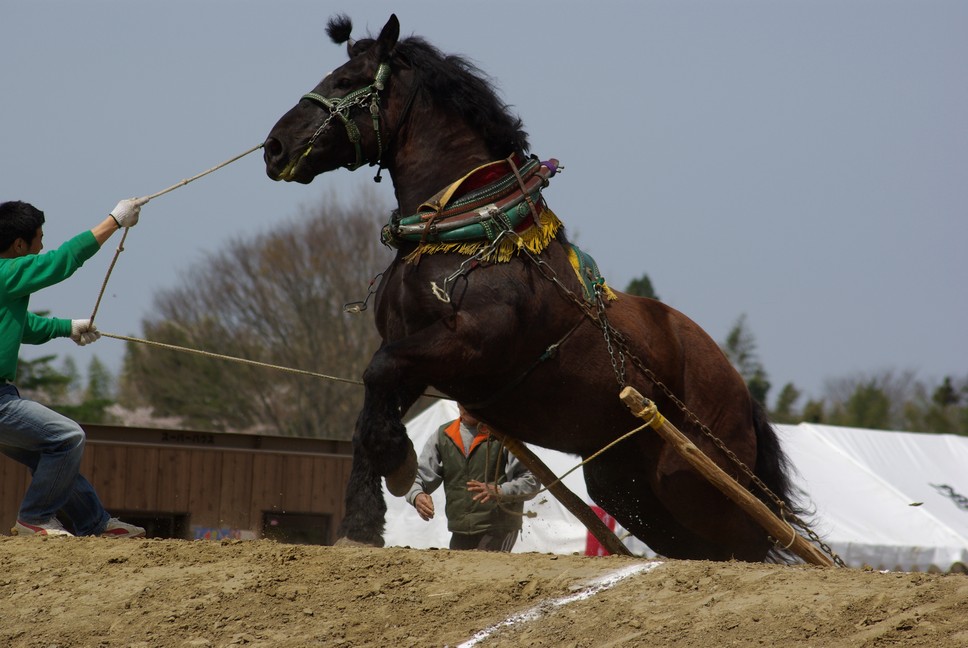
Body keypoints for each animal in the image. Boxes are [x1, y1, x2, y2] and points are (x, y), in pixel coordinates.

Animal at [262, 13, 800, 560]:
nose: (275, 146)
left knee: (756, 538)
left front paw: (398, 462)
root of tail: (739, 388)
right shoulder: (414, 355)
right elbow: (371, 400)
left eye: (346, 81)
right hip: (631, 487)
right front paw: (363, 521)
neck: (466, 229)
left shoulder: (469, 345)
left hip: (691, 479)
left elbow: (377, 374)